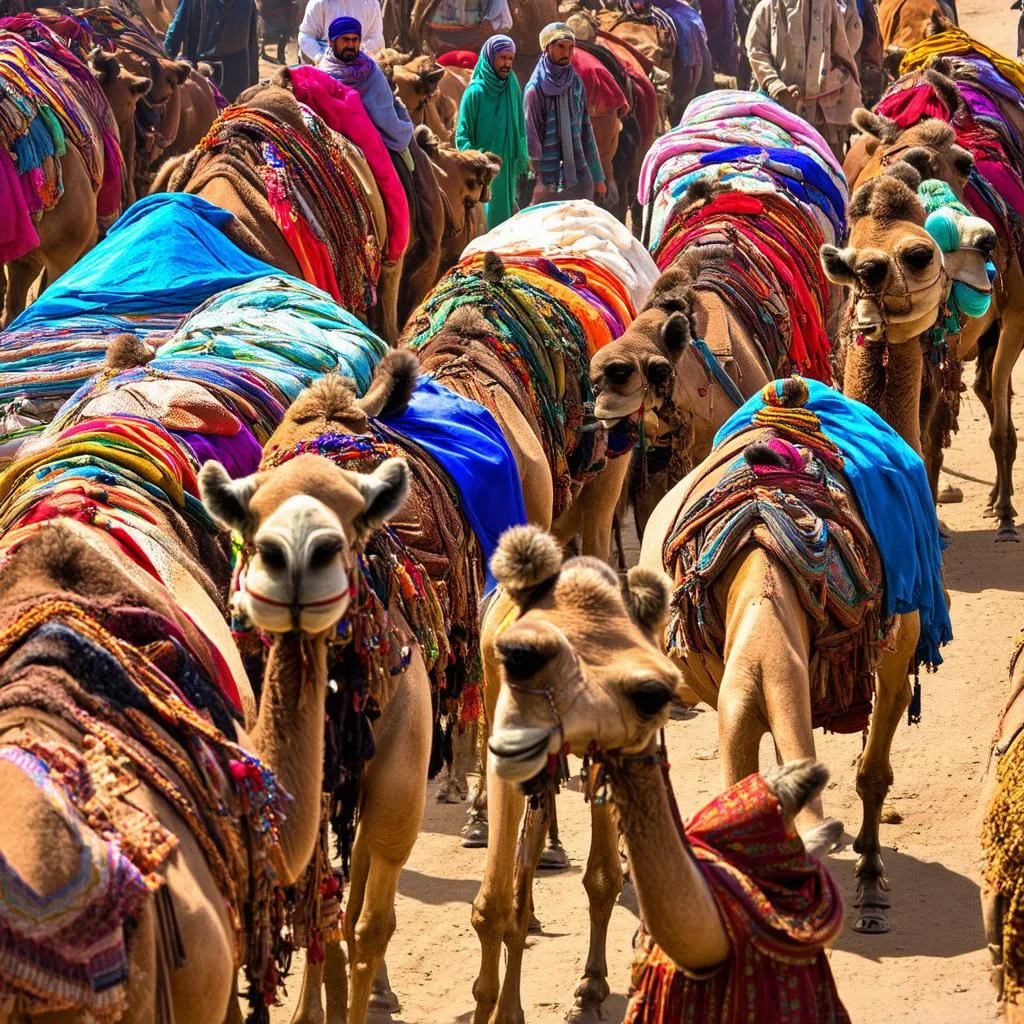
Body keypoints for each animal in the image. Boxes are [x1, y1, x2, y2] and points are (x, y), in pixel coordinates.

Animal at [203, 364, 436, 1019]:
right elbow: (319, 911)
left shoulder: (399, 785)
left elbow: (371, 926)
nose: (299, 558)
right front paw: (312, 1008)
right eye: (254, 518)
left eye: (353, 515)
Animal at [839, 69, 1024, 540]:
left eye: (964, 163)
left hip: (1010, 320)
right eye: (883, 158)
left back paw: (1005, 510)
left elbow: (933, 435)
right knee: (985, 391)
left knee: (996, 404)